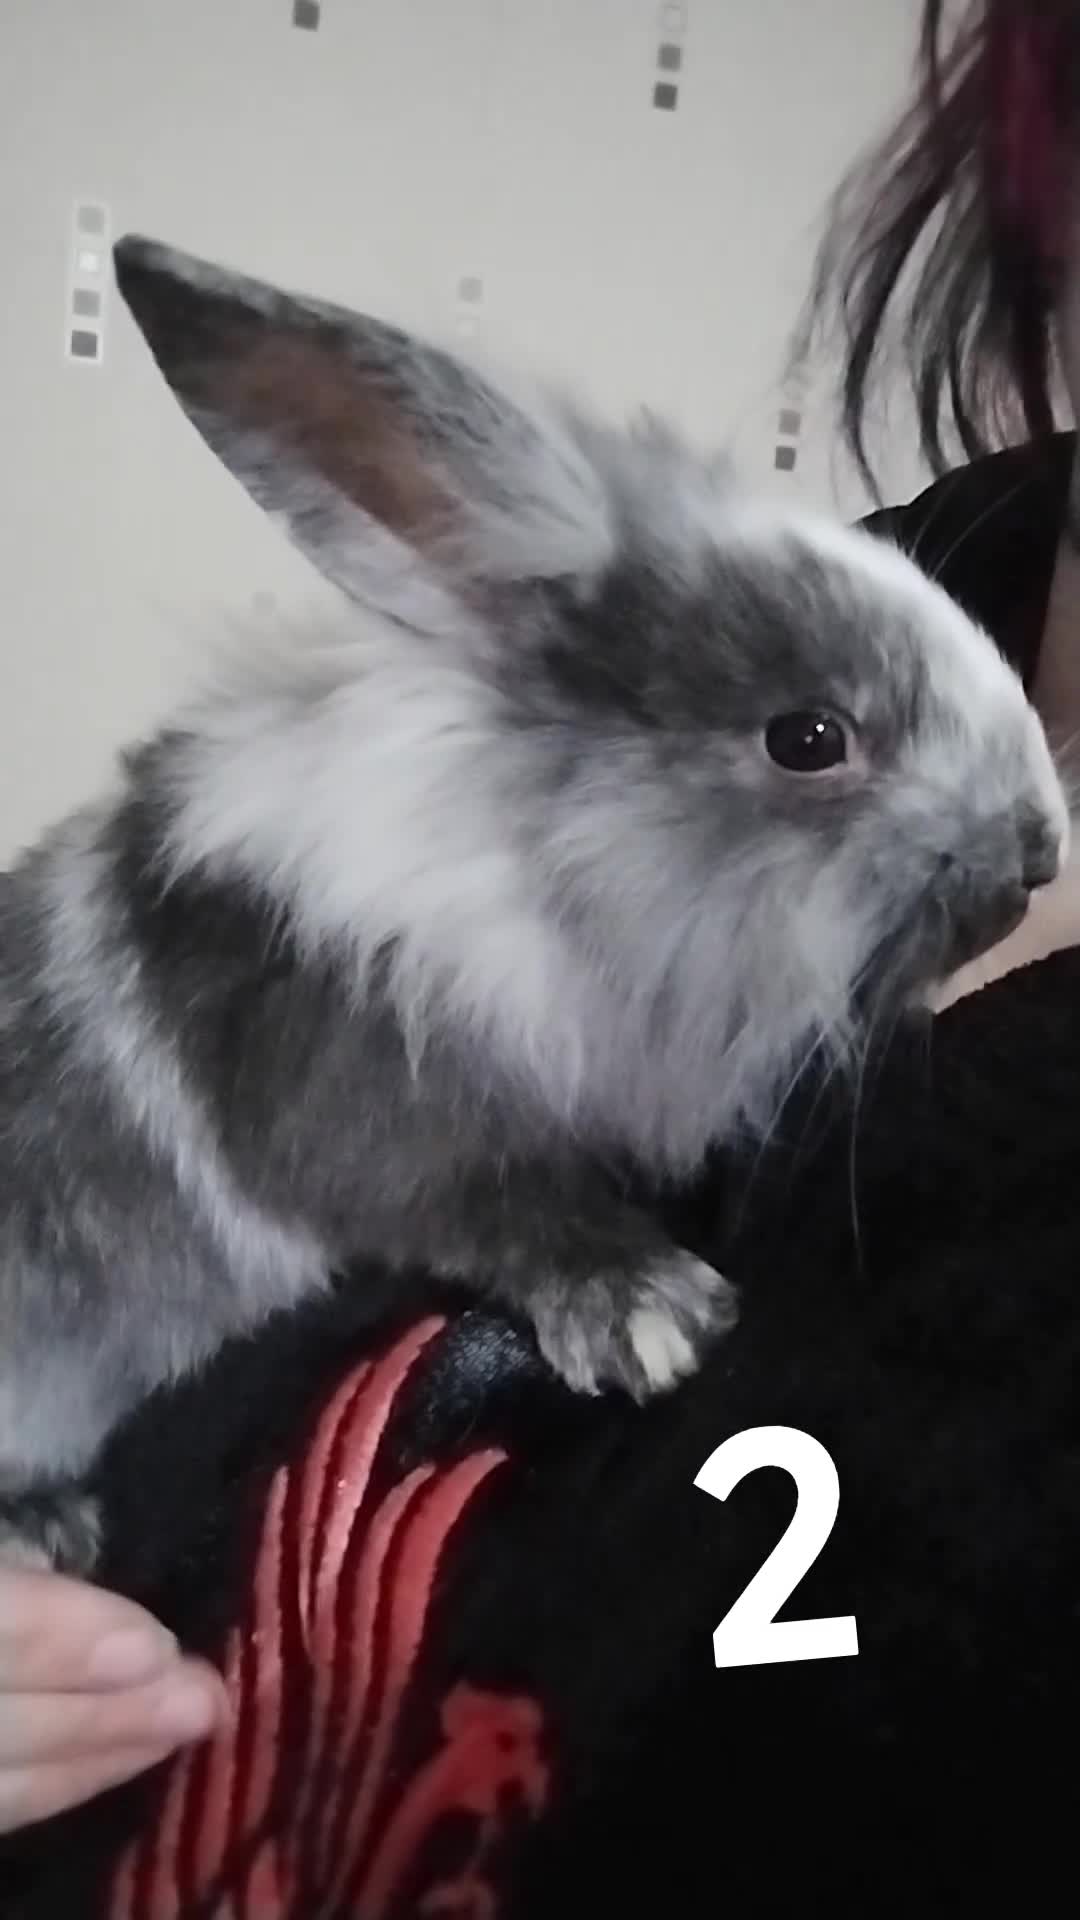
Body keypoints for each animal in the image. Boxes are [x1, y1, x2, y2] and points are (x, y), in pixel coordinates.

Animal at [0, 233, 1068, 1574]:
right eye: (809, 739)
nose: (1036, 856)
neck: (535, 864)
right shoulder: (370, 1115)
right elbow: (492, 1207)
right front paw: (654, 1318)